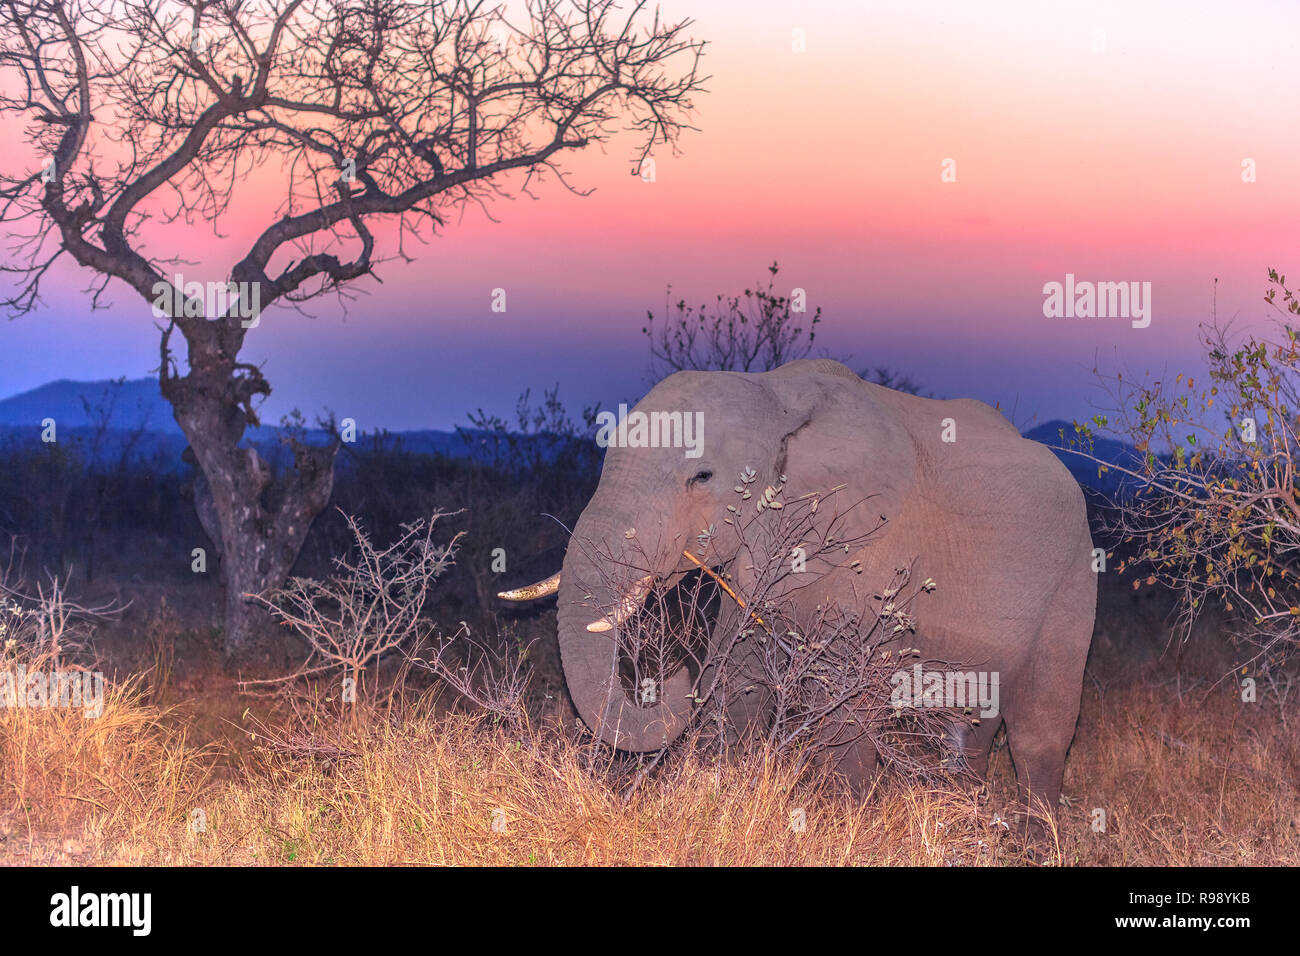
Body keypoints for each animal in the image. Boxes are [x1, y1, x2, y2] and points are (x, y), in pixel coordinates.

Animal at [500, 358, 1097, 821]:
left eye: (702, 478)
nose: (670, 675)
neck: (775, 396)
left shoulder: (871, 545)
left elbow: (847, 696)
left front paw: (841, 824)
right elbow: (737, 675)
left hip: (1072, 583)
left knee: (1040, 731)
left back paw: (1031, 842)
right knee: (976, 722)